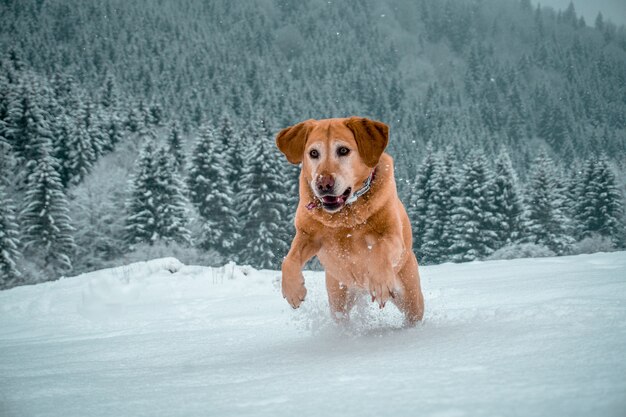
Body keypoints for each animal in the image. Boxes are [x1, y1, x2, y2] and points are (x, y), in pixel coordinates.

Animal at [274, 117, 424, 324]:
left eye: (343, 150)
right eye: (313, 153)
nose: (323, 184)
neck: (344, 217)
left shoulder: (392, 236)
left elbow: (380, 250)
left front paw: (380, 282)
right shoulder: (308, 236)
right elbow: (289, 259)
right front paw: (293, 291)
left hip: (411, 296)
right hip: (338, 295)